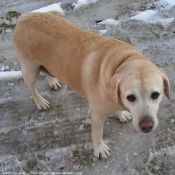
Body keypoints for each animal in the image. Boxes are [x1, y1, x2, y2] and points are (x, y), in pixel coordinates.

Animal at [13, 11, 170, 159]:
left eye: (155, 95)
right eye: (130, 97)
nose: (146, 126)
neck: (122, 61)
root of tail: (24, 17)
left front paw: (120, 114)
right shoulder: (97, 114)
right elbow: (97, 133)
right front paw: (99, 149)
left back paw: (53, 81)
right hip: (30, 69)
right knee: (30, 87)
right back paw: (40, 102)